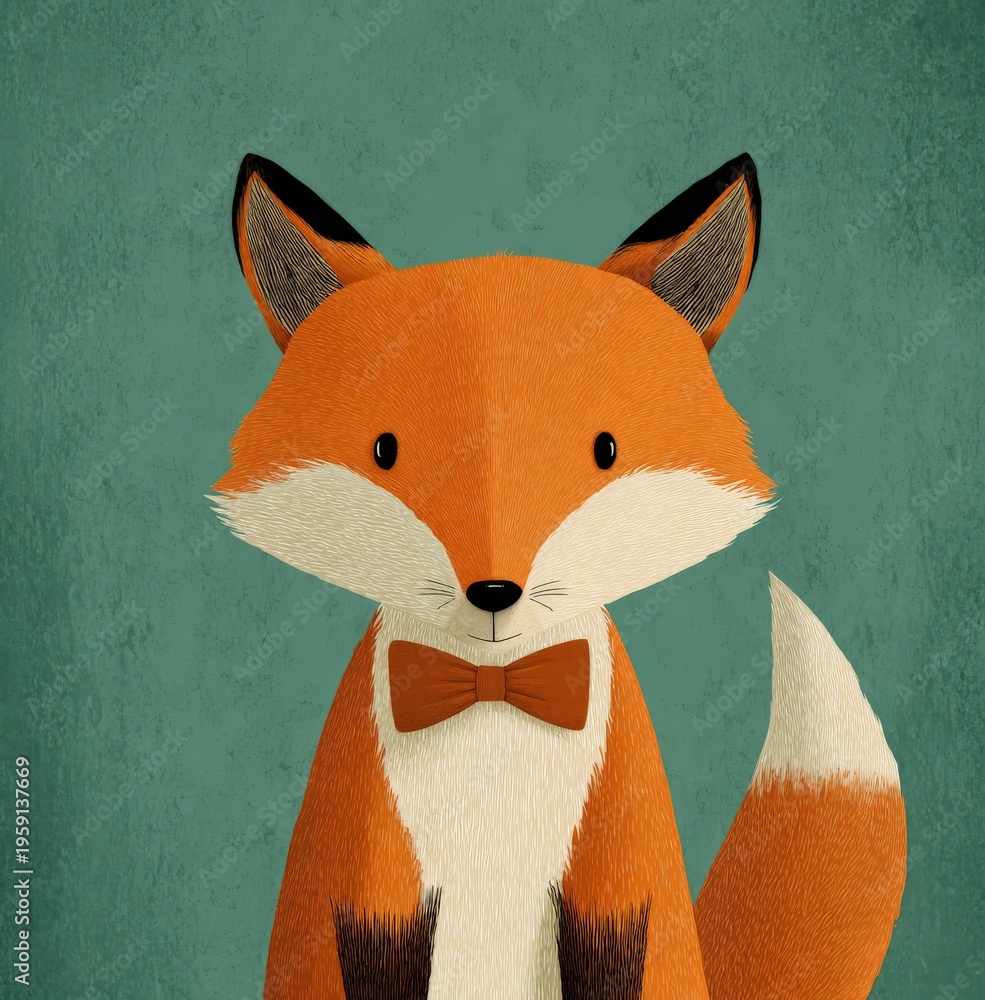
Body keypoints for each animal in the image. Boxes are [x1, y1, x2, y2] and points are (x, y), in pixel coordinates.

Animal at [212, 152, 906, 999]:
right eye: (385, 450)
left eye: (604, 450)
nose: (493, 592)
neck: (495, 697)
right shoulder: (370, 868)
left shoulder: (618, 860)